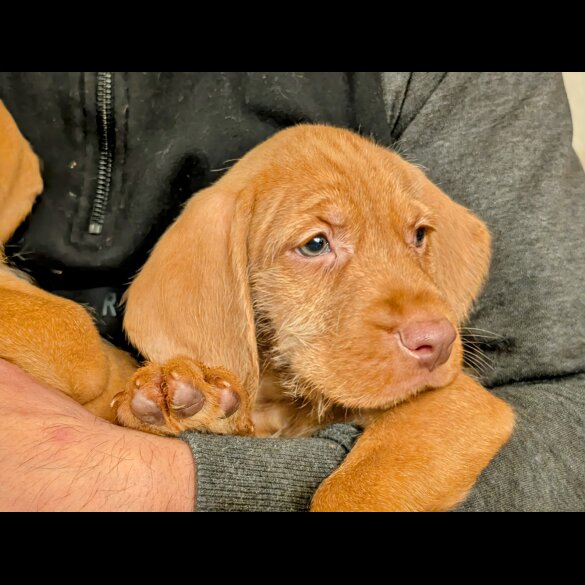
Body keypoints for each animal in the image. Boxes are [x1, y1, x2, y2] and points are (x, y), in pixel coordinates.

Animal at [0, 101, 512, 512]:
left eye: (419, 236)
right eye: (315, 244)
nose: (438, 341)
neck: (283, 399)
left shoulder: (458, 404)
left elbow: (355, 491)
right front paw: (181, 397)